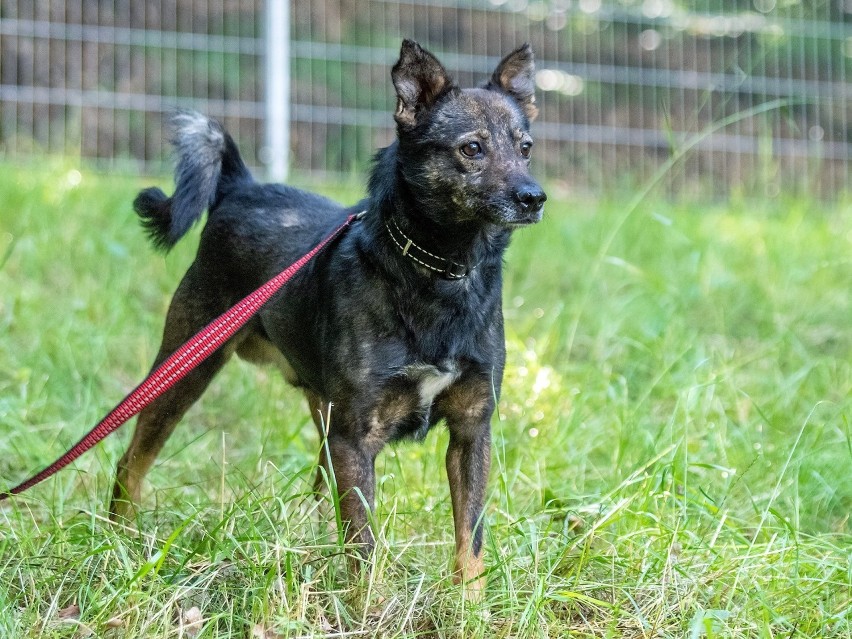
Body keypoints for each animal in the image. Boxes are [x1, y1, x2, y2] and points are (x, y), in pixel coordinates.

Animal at [111, 41, 544, 600]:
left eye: (526, 147)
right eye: (471, 149)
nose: (534, 197)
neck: (442, 271)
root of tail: (240, 187)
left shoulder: (472, 430)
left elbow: (470, 540)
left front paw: (470, 609)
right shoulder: (356, 439)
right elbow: (364, 548)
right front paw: (368, 609)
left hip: (321, 409)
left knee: (319, 489)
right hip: (186, 371)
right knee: (131, 462)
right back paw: (119, 542)